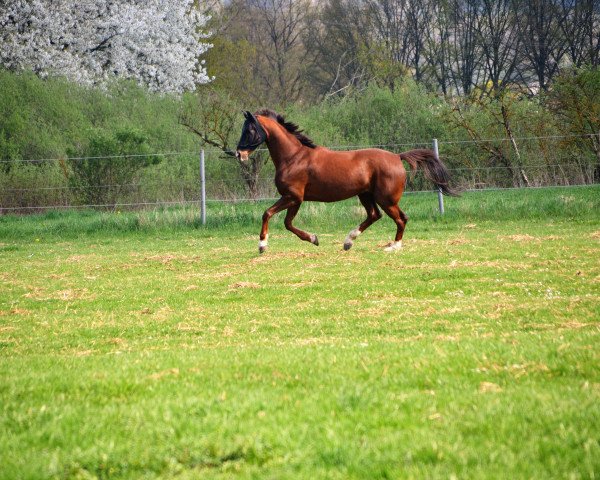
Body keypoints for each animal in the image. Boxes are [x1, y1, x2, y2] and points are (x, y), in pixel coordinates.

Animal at [234, 108, 454, 251]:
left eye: (250, 130)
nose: (238, 153)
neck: (293, 157)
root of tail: (397, 157)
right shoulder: (295, 199)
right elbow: (288, 223)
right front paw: (314, 239)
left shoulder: (292, 197)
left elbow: (268, 213)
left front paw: (262, 245)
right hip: (366, 195)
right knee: (375, 215)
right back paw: (349, 241)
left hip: (386, 199)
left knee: (400, 218)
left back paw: (393, 246)